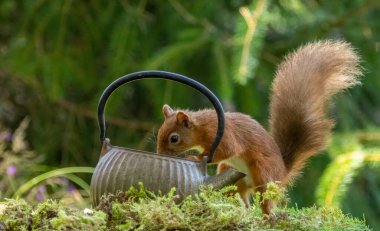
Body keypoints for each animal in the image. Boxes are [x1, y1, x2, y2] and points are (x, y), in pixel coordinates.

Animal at [155, 40, 362, 214]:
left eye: (174, 138)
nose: (160, 153)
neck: (201, 126)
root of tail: (283, 173)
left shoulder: (221, 134)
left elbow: (227, 149)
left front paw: (197, 157)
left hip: (263, 173)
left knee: (265, 200)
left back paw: (268, 216)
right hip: (231, 173)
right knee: (240, 196)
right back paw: (240, 211)